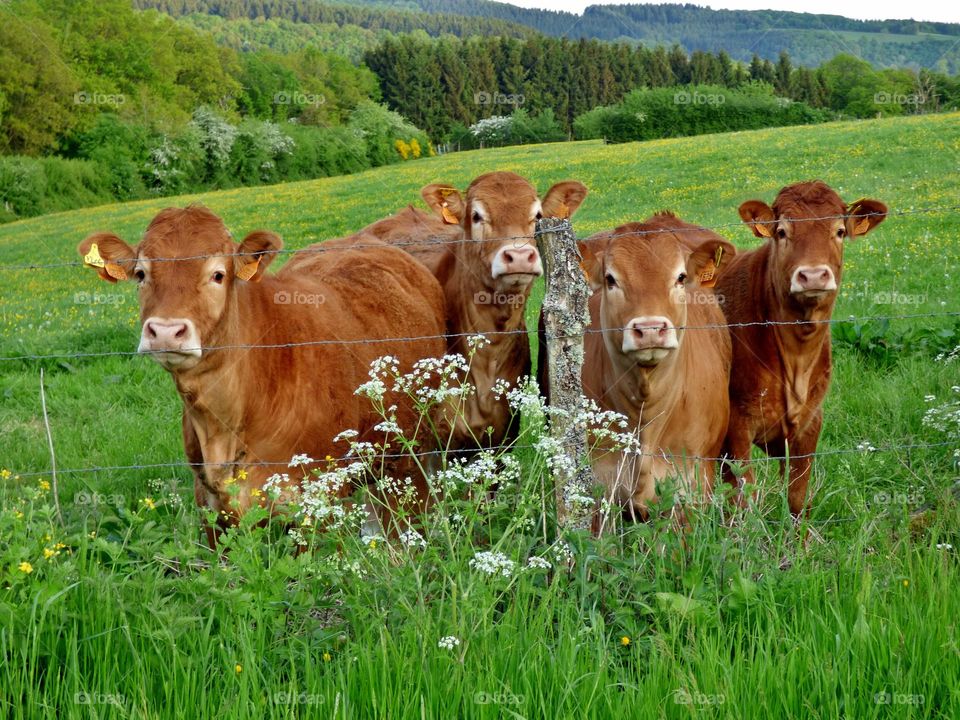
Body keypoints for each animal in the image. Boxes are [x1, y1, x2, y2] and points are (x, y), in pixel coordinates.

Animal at [77, 206, 447, 547]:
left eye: (218, 275)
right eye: (141, 274)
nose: (166, 331)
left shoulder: (318, 504)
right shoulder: (210, 512)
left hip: (412, 451)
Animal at [714, 180, 887, 515]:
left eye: (839, 231)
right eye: (782, 232)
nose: (814, 275)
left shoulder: (810, 422)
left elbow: (796, 497)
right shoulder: (735, 428)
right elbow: (745, 500)